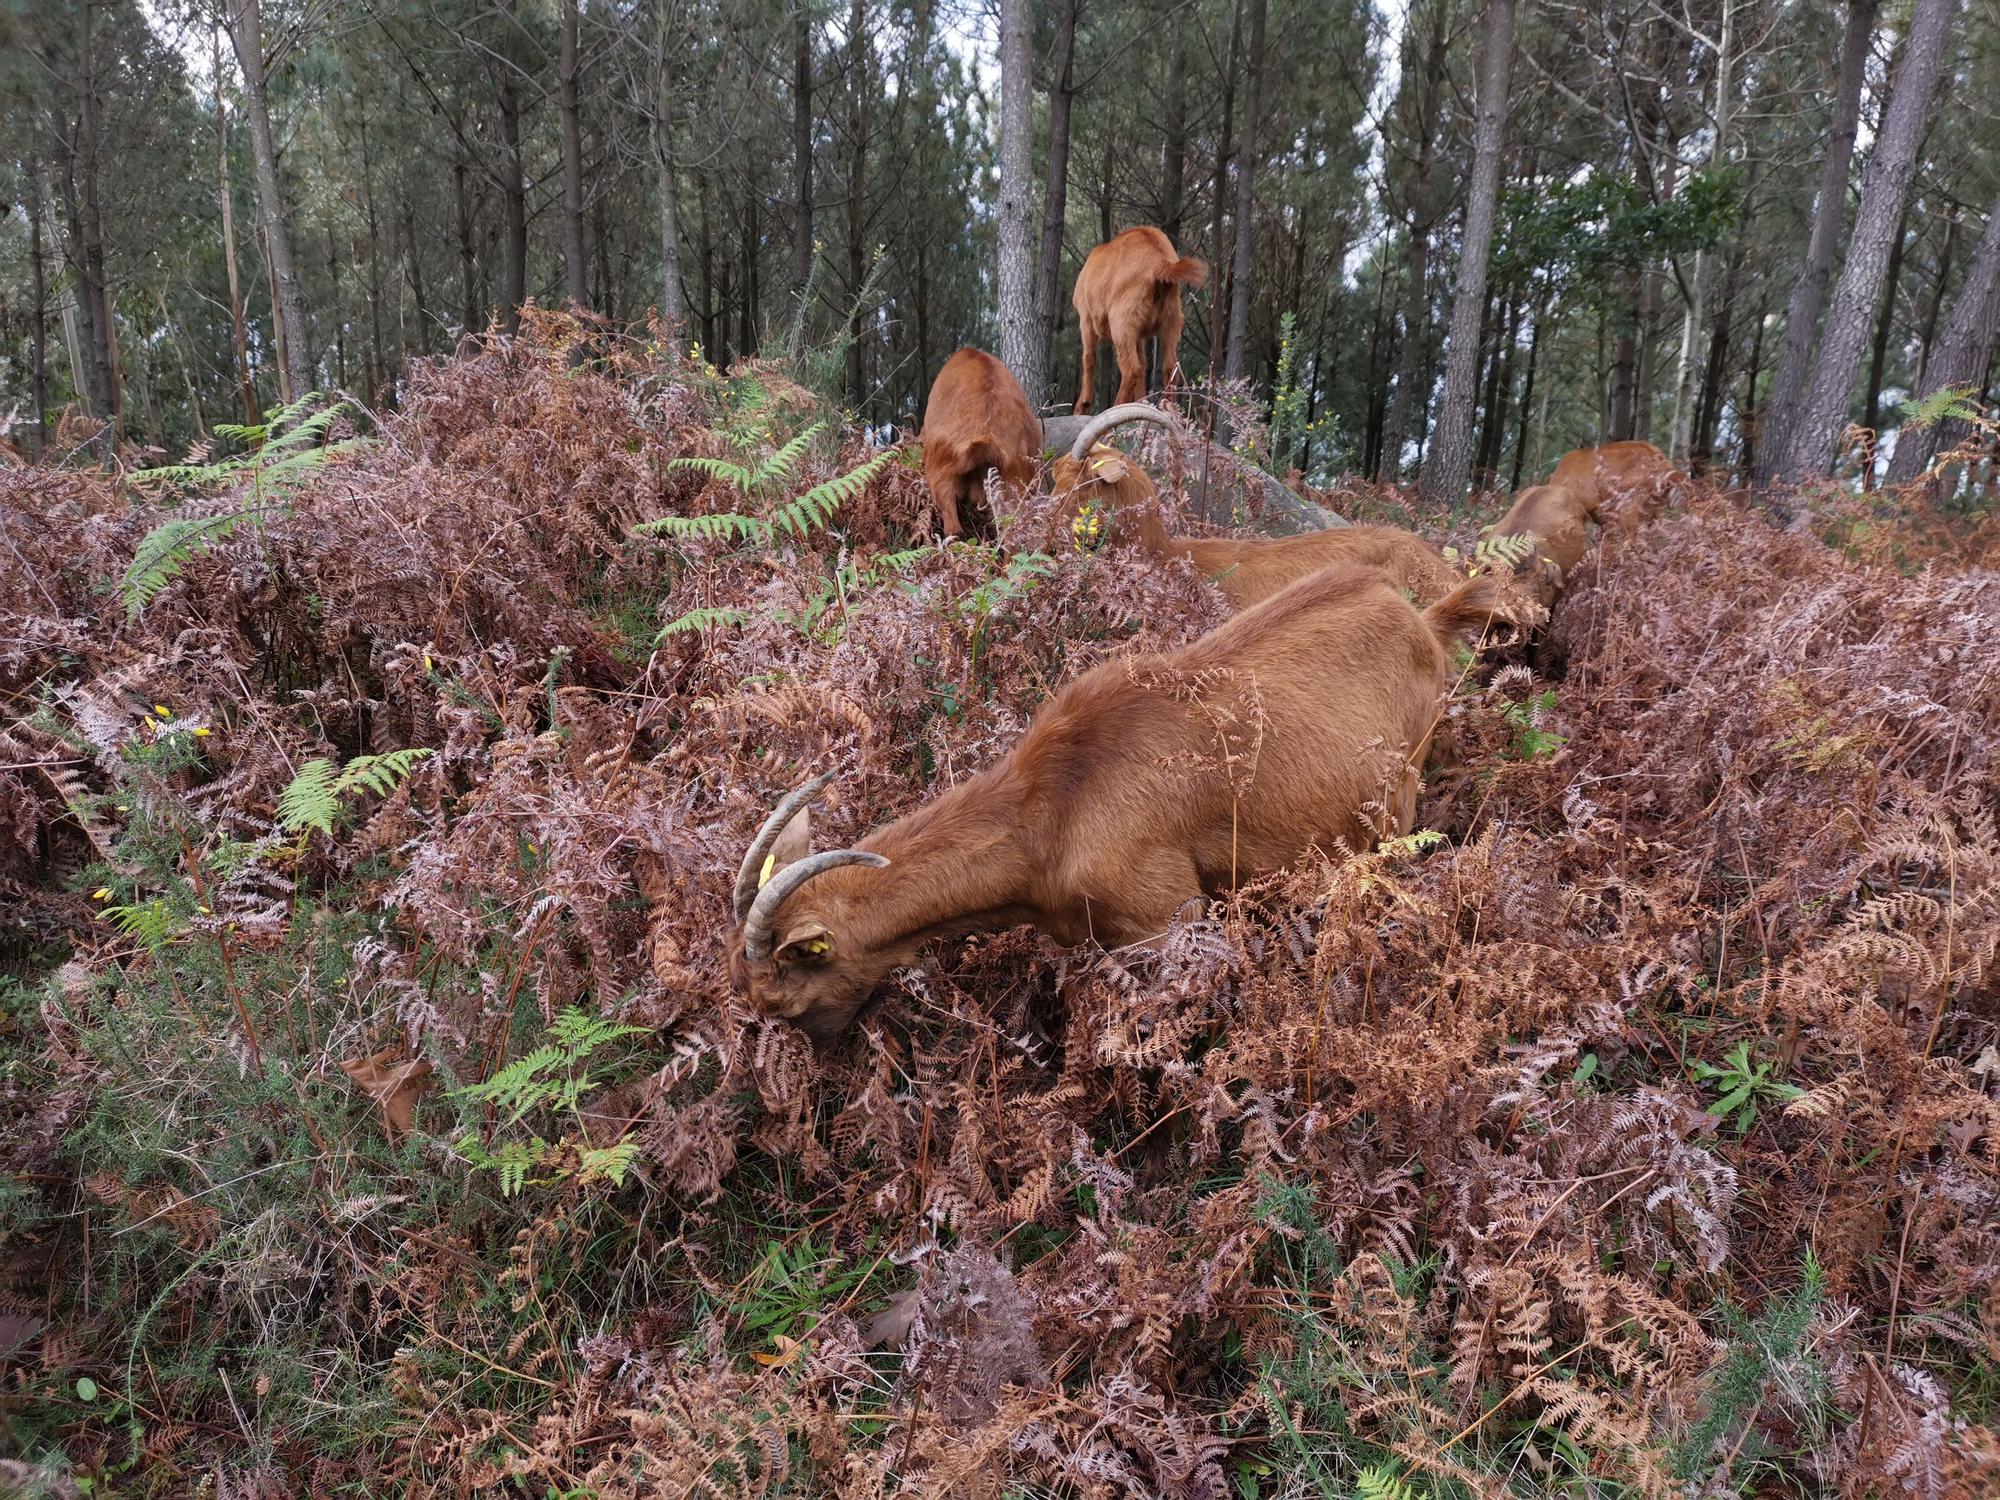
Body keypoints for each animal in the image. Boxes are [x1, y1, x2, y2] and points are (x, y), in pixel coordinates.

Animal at [1072, 225, 1208, 412]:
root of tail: (1162, 262)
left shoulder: (1085, 318)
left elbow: (1088, 358)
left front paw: (1082, 404)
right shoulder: (1140, 335)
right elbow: (1143, 363)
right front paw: (1141, 401)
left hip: (1121, 319)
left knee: (1131, 369)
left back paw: (1116, 407)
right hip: (1171, 318)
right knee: (1169, 366)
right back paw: (1168, 409)